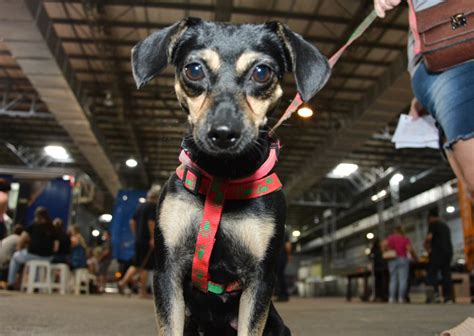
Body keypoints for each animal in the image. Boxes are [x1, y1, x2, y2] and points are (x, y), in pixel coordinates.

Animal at [131, 19, 330, 336]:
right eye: (194, 69)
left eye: (262, 72)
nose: (223, 133)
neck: (222, 179)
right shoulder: (166, 272)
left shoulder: (260, 280)